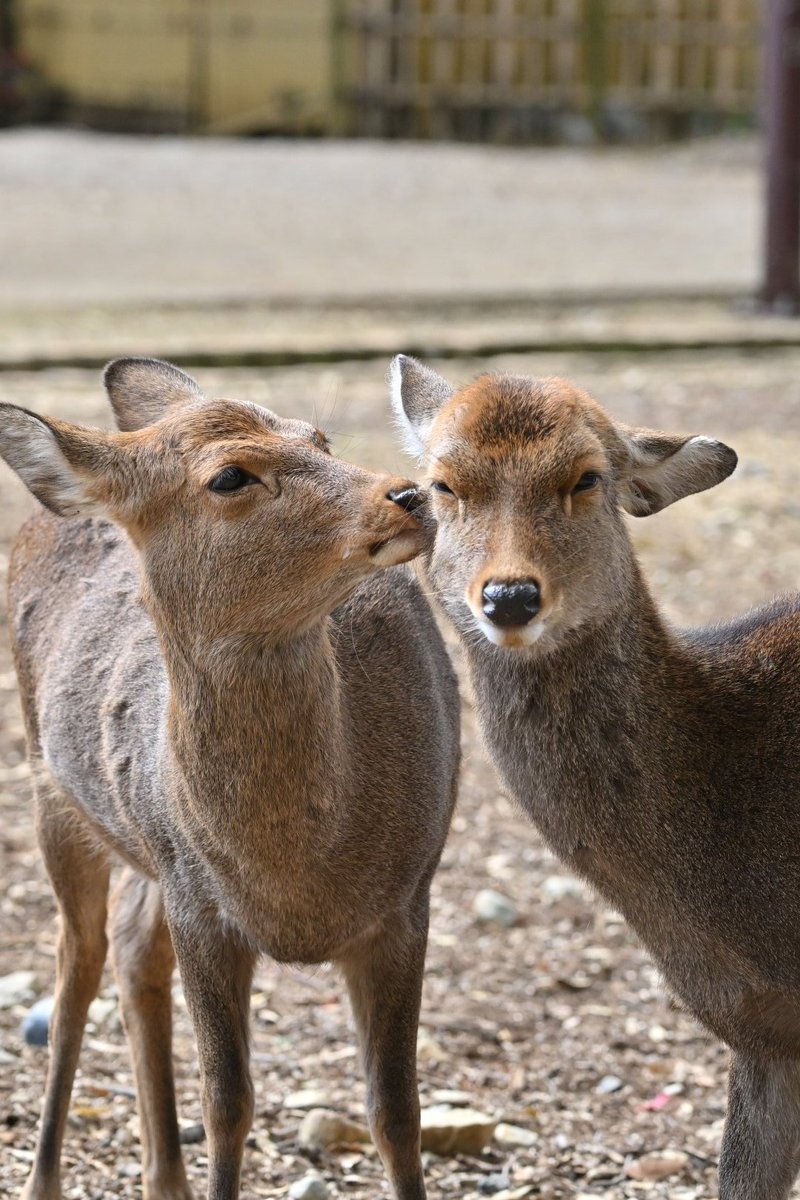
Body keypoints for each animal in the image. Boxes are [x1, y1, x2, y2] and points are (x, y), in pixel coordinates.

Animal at [1, 357, 460, 1200]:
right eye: (229, 476)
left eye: (319, 436)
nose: (409, 494)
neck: (300, 873)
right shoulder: (202, 907)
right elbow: (227, 1103)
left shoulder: (410, 895)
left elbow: (396, 1110)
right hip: (52, 792)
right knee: (76, 961)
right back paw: (44, 1178)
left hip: (148, 846)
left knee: (131, 948)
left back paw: (163, 1178)